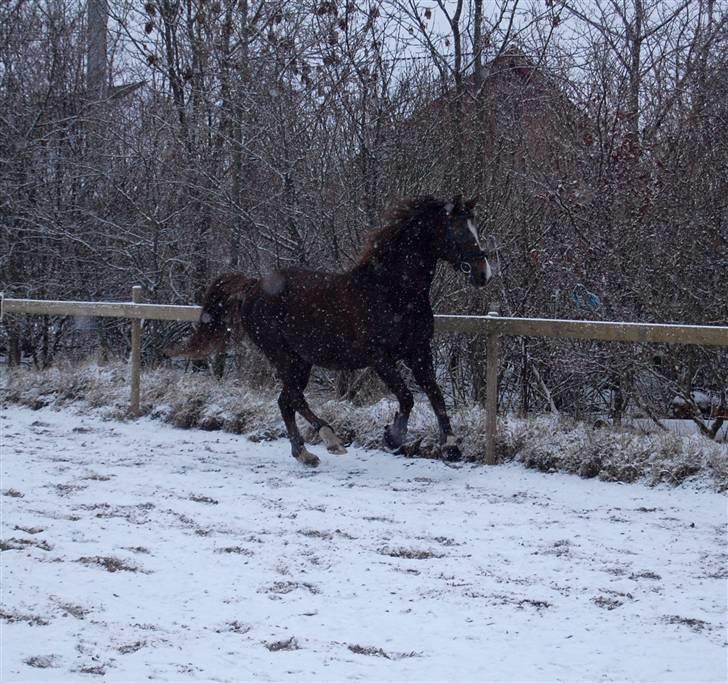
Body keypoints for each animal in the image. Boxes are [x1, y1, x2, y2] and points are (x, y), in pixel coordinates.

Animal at [173, 195, 492, 468]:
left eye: (475, 228)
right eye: (458, 231)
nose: (484, 273)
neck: (393, 291)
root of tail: (252, 286)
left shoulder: (419, 352)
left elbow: (435, 394)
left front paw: (451, 445)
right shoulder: (381, 359)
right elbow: (407, 397)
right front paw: (393, 437)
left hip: (301, 361)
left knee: (285, 401)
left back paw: (304, 454)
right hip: (281, 355)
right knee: (294, 398)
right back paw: (331, 439)